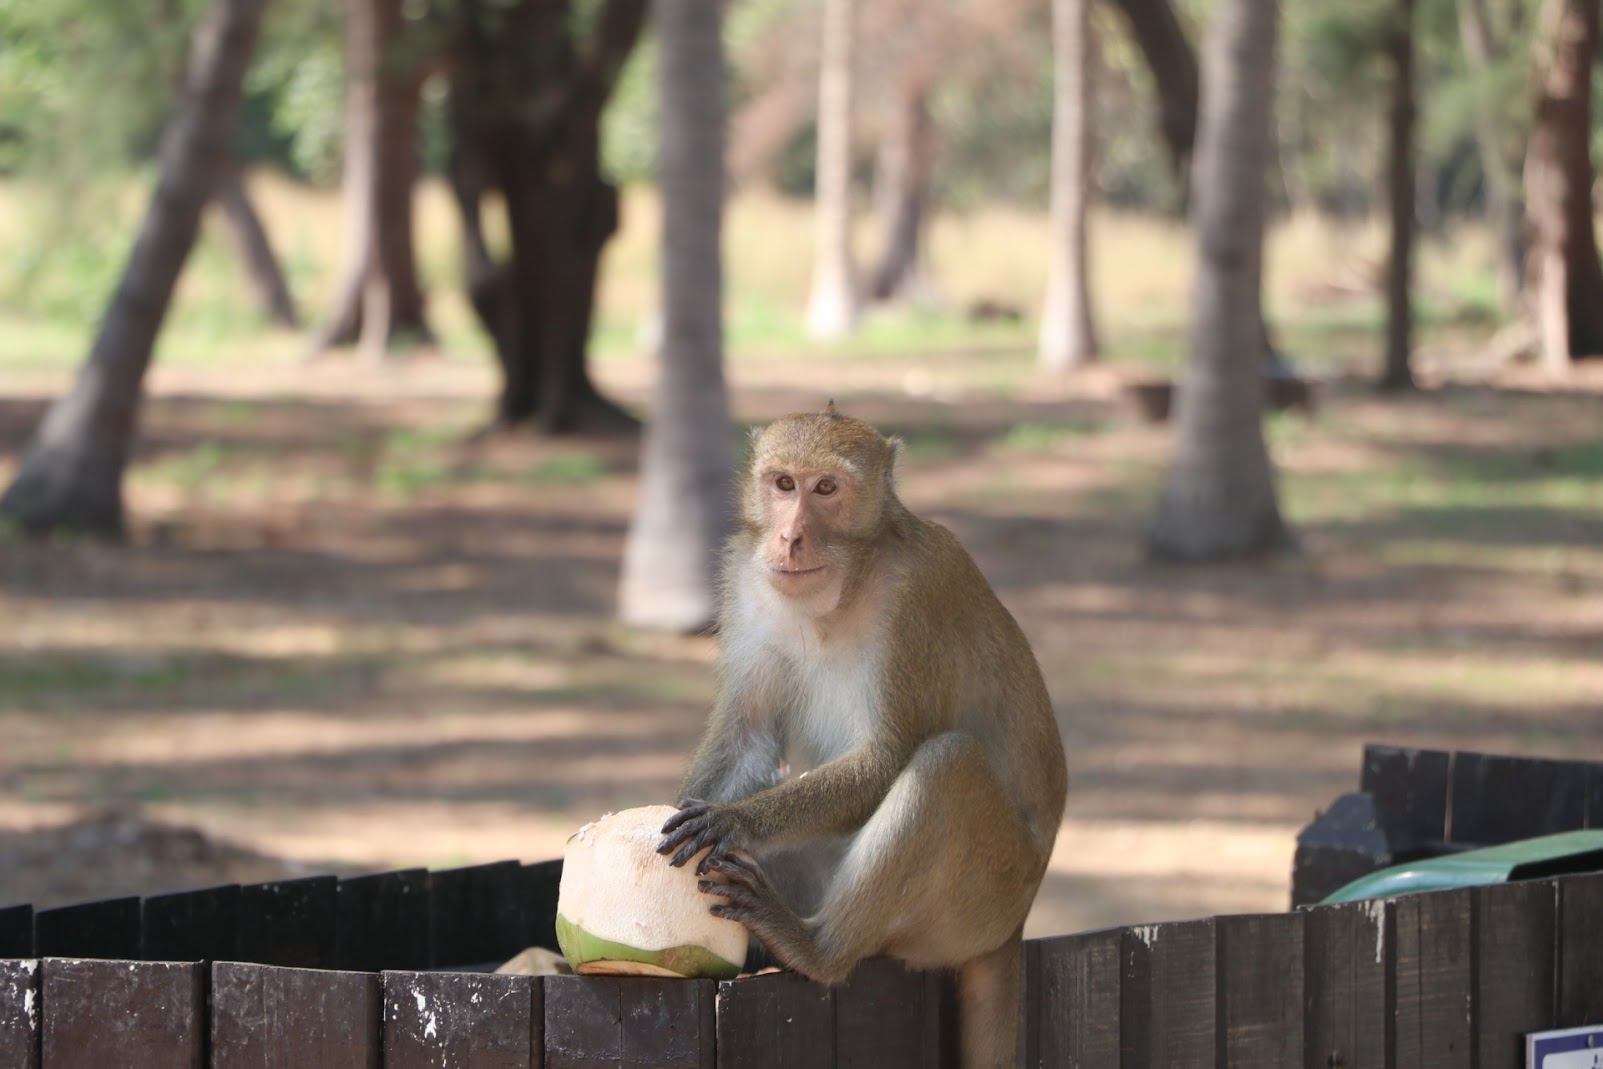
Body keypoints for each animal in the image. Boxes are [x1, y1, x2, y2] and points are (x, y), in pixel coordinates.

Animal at [656, 404, 1067, 1068]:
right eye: (783, 484)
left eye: (826, 488)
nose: (789, 538)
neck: (844, 585)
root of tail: (1017, 924)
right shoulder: (746, 579)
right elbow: (748, 738)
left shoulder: (918, 592)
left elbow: (886, 758)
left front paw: (735, 821)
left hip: (984, 899)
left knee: (946, 765)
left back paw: (817, 949)